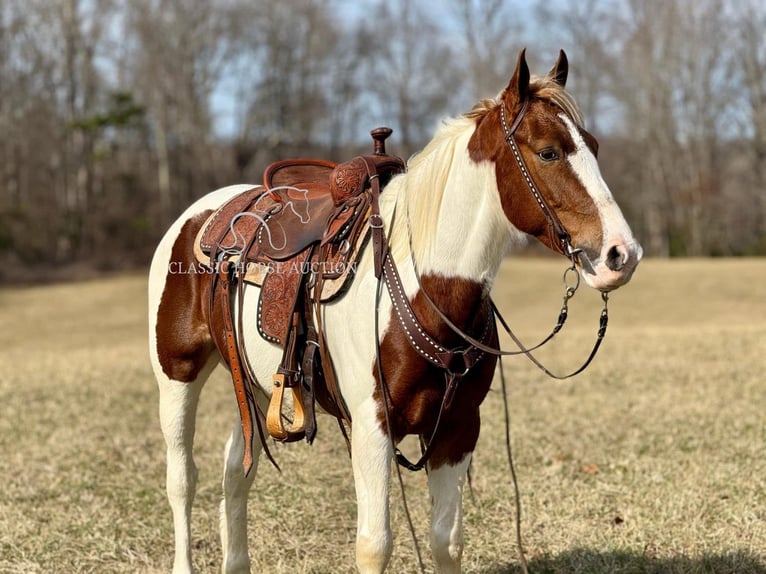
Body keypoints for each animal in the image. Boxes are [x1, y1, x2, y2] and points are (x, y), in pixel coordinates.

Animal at [148, 50, 640, 574]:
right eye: (548, 152)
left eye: (592, 145)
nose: (621, 254)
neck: (426, 290)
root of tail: (205, 212)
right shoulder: (371, 426)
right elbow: (374, 544)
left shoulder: (458, 428)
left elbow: (446, 540)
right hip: (176, 376)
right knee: (183, 479)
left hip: (257, 386)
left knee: (236, 472)